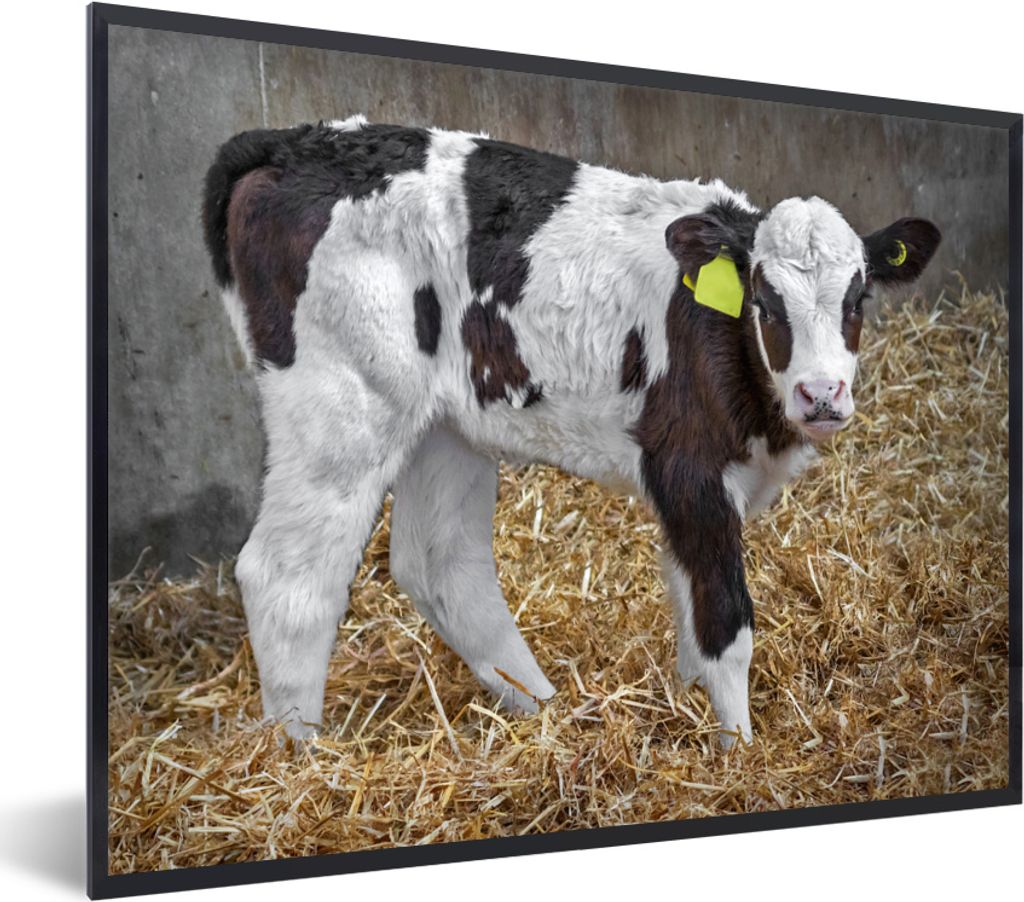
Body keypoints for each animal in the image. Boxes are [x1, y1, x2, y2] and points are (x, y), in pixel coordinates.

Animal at [202, 116, 940, 748]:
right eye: (763, 300)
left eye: (858, 298)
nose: (822, 394)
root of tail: (292, 144)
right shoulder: (688, 468)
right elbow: (725, 624)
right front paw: (740, 754)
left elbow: (689, 613)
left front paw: (687, 718)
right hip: (341, 406)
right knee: (288, 577)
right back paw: (302, 759)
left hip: (444, 425)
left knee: (441, 563)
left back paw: (546, 713)